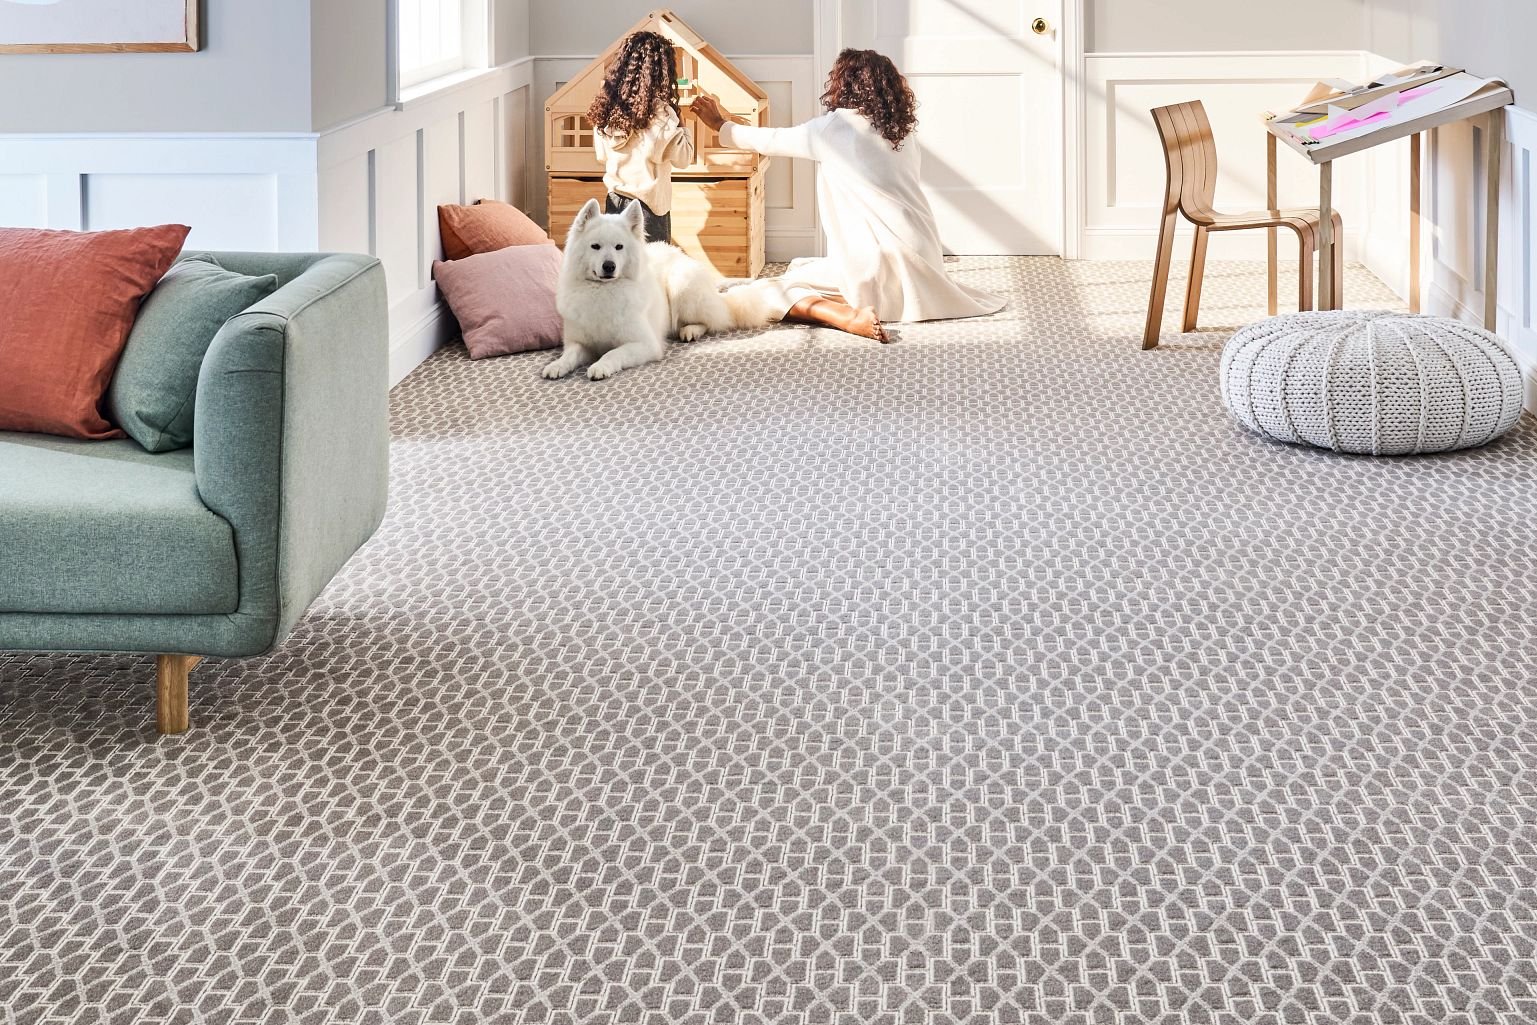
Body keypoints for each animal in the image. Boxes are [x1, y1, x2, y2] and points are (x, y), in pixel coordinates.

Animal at [547, 198, 774, 381]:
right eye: (595, 246)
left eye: (619, 247)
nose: (609, 266)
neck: (603, 291)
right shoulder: (578, 342)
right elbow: (569, 354)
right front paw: (556, 365)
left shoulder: (645, 344)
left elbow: (613, 353)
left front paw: (600, 366)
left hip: (681, 286)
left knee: (713, 321)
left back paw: (690, 330)